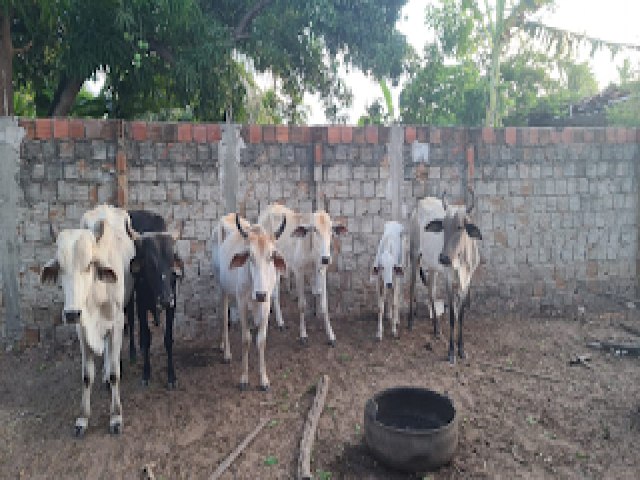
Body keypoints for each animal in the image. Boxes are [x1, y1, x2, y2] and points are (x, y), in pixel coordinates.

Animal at [41, 219, 132, 436]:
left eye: (90, 264)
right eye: (60, 267)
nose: (72, 313)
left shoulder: (117, 325)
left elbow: (116, 373)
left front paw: (116, 416)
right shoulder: (82, 331)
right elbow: (86, 376)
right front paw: (82, 418)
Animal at [126, 211, 184, 390]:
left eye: (172, 261)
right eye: (151, 264)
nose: (164, 299)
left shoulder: (173, 303)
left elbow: (168, 339)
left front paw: (172, 377)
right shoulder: (141, 305)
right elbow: (146, 336)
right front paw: (146, 373)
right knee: (130, 321)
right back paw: (133, 352)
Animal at [211, 213, 286, 390]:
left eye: (271, 256)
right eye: (250, 256)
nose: (260, 294)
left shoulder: (265, 305)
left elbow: (261, 340)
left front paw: (263, 379)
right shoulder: (242, 304)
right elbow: (246, 339)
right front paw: (244, 378)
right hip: (222, 287)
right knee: (224, 317)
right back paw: (226, 351)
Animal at [258, 204, 348, 346]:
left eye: (331, 230)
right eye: (314, 230)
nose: (326, 258)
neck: (313, 252)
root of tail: (270, 206)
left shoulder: (321, 270)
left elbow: (324, 305)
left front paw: (331, 335)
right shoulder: (299, 272)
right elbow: (302, 305)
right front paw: (303, 335)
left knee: (276, 291)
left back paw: (280, 322)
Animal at [424, 189, 480, 362]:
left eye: (460, 227)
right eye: (443, 226)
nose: (443, 258)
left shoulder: (466, 282)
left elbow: (459, 315)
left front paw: (461, 349)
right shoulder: (449, 281)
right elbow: (451, 317)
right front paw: (451, 351)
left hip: (434, 270)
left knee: (431, 292)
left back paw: (436, 329)